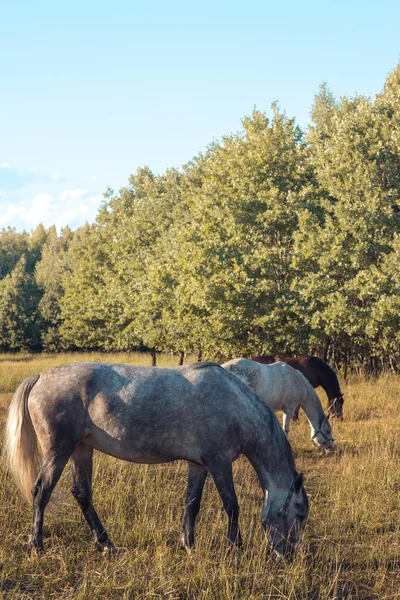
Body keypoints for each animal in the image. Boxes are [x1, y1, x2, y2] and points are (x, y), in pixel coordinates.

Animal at [3, 360, 308, 556]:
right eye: (301, 513)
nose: (288, 554)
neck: (234, 405)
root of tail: (40, 377)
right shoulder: (219, 463)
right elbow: (232, 505)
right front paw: (236, 546)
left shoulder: (199, 465)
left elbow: (192, 503)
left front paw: (188, 543)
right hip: (60, 450)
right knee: (41, 491)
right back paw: (37, 545)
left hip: (81, 449)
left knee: (82, 494)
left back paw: (105, 543)